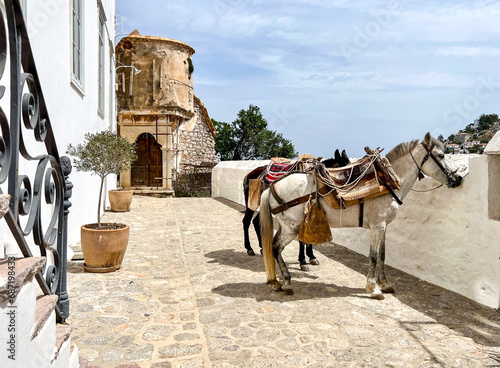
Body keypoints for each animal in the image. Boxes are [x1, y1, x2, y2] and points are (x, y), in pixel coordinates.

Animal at [260, 134, 462, 300]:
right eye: (441, 155)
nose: (459, 178)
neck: (387, 180)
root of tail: (272, 187)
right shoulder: (377, 225)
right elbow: (373, 256)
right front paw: (373, 288)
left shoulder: (383, 226)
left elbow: (382, 255)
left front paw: (385, 283)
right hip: (291, 228)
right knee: (276, 247)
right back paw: (286, 281)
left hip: (285, 226)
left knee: (273, 245)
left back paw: (278, 279)